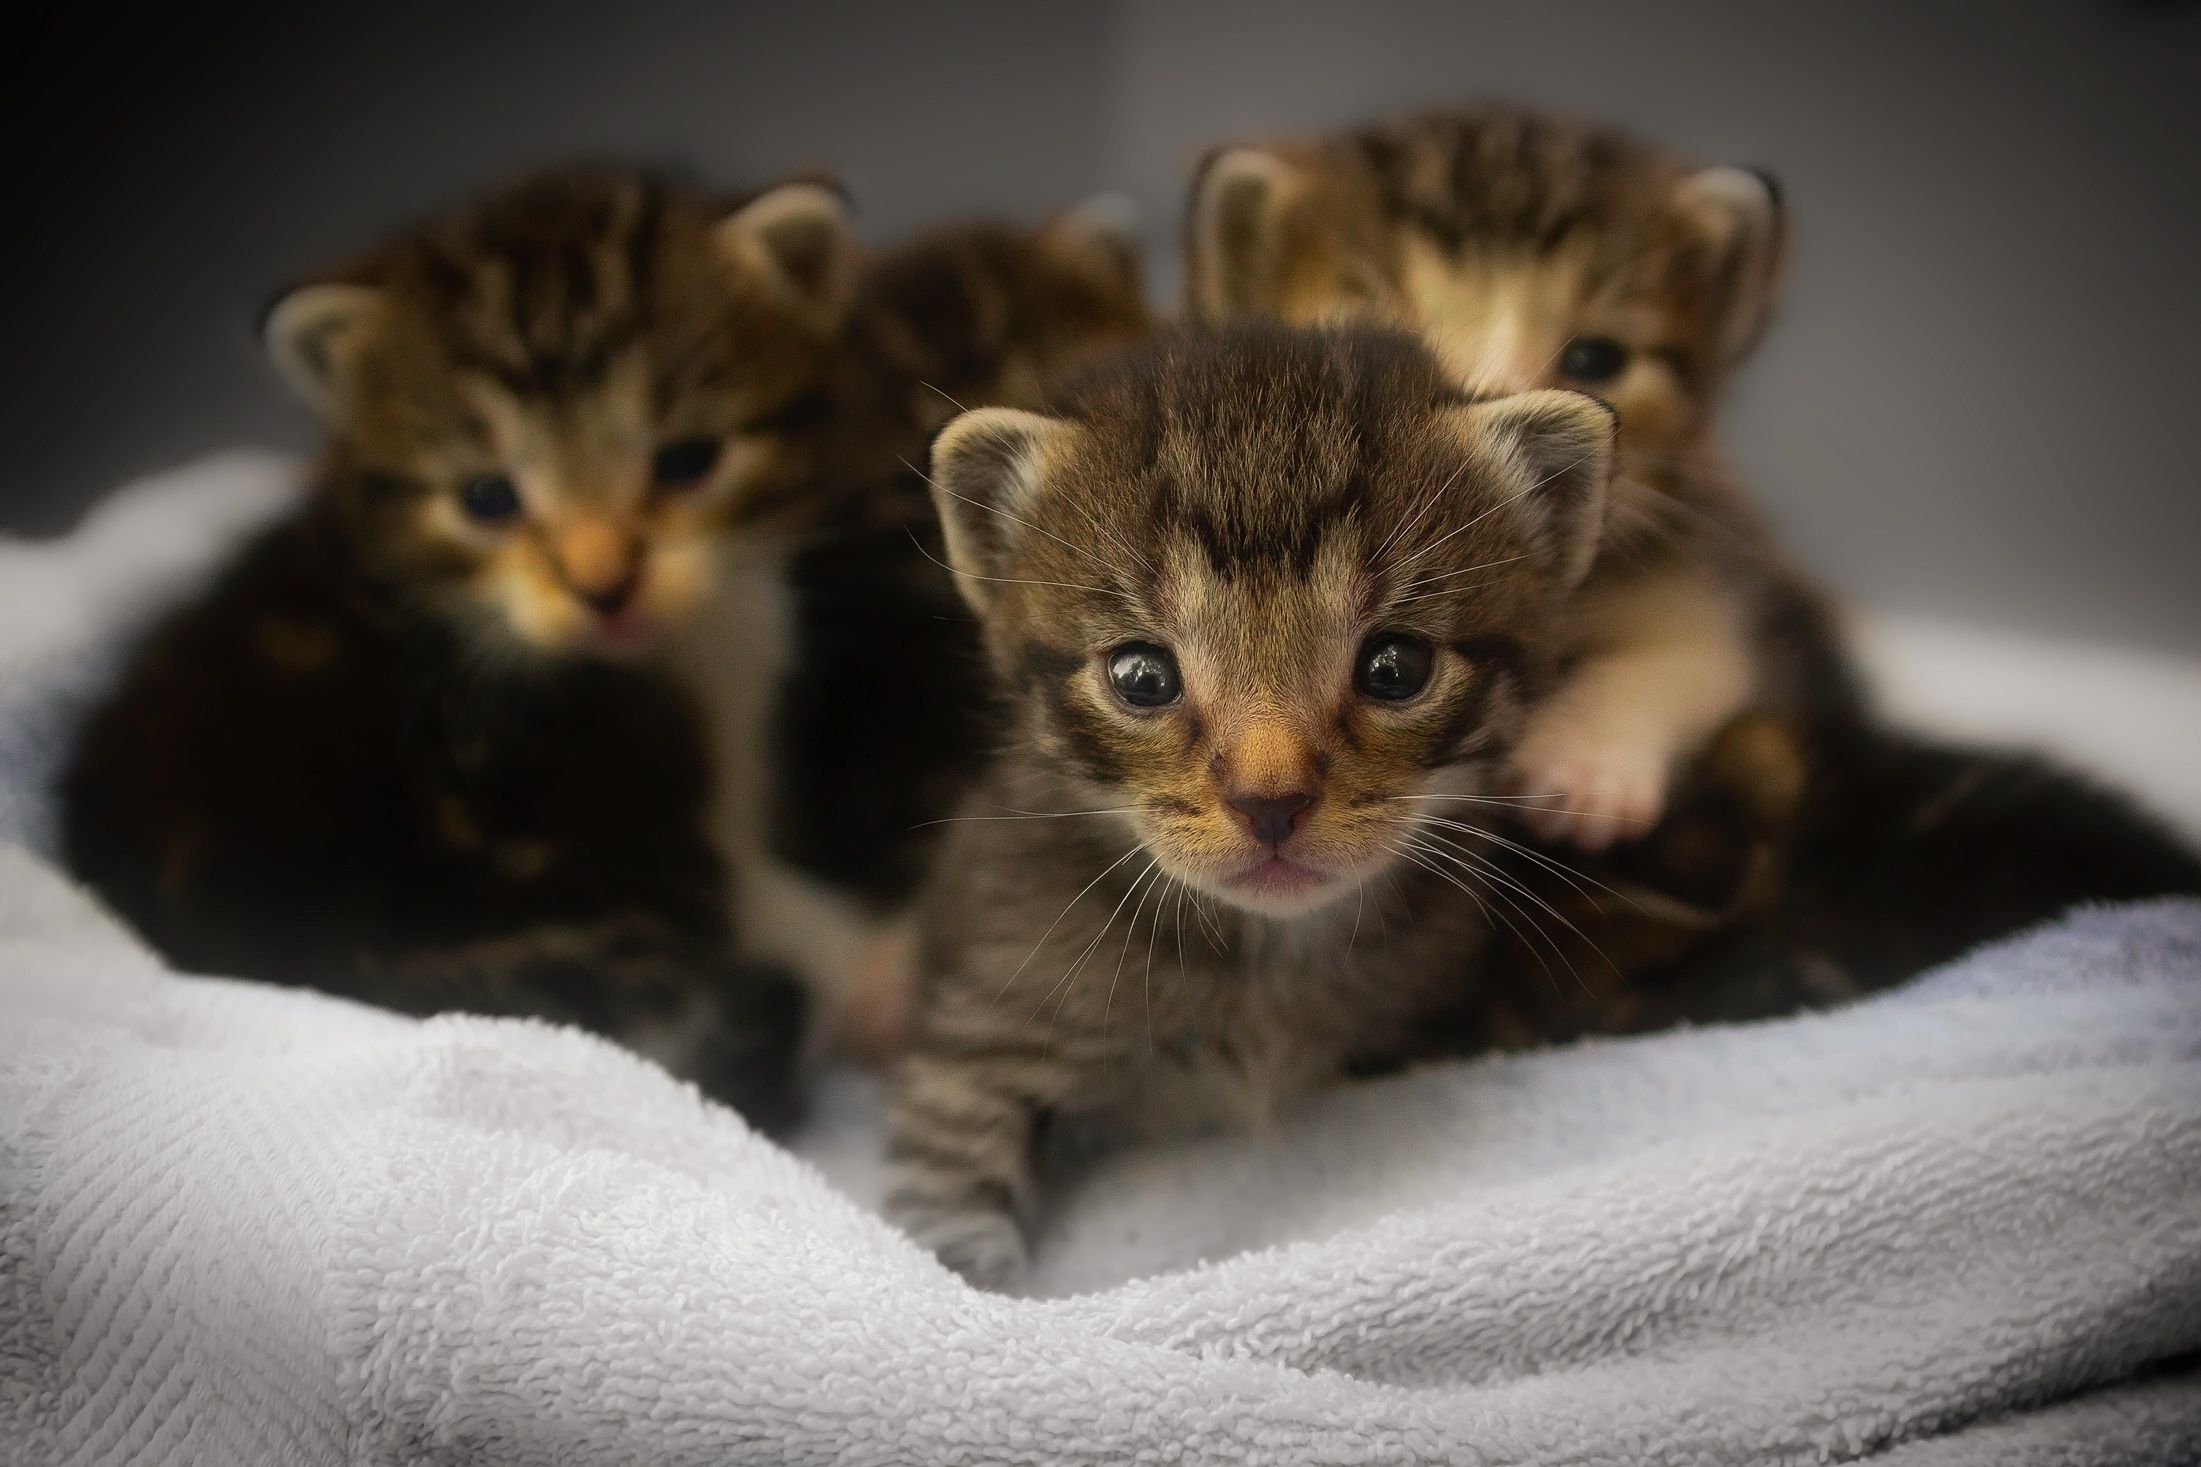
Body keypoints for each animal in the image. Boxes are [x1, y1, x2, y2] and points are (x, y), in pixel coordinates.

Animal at [60, 163, 858, 1134]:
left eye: (687, 461)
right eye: (488, 498)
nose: (603, 587)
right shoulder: (693, 793)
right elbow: (769, 896)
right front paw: (870, 958)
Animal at [884, 323, 1628, 1284]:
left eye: (1395, 667)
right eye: (1141, 676)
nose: (1269, 801)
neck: (1265, 965)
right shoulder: (982, 1039)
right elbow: (947, 1222)